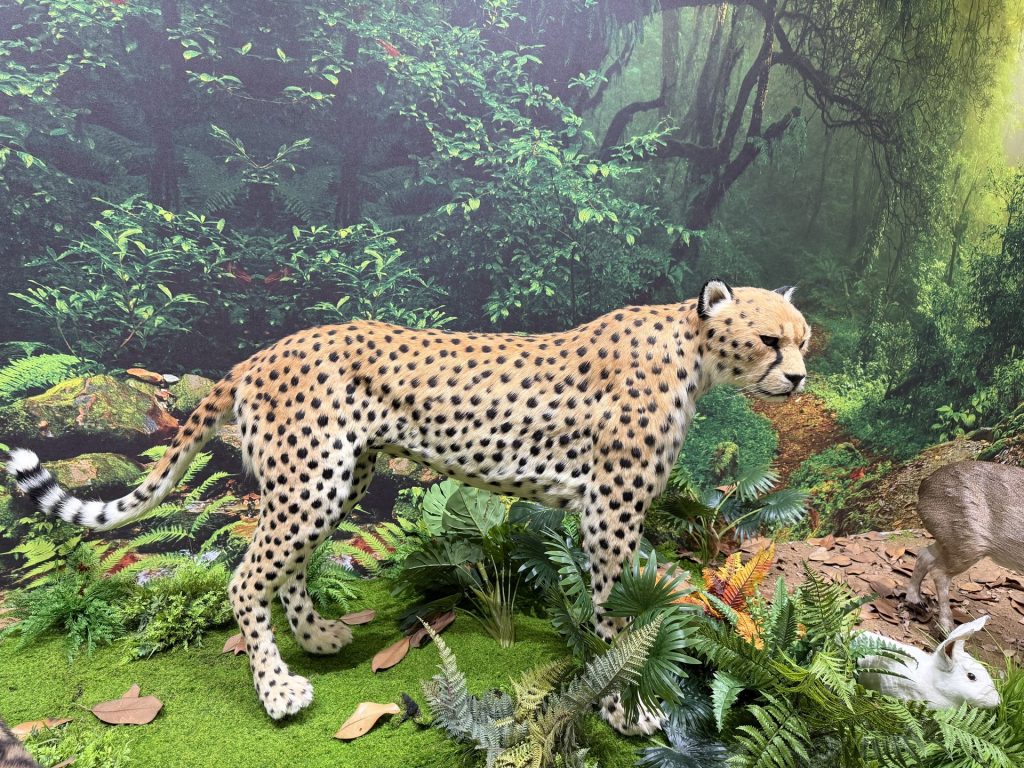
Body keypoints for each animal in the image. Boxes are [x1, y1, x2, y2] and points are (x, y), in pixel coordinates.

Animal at [6, 280, 810, 735]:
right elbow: (618, 619)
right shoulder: (610, 512)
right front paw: (625, 707)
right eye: (769, 339)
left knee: (286, 567)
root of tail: (263, 351)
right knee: (246, 577)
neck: (695, 352)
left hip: (338, 476)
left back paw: (320, 638)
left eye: (805, 340)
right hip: (312, 479)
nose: (800, 377)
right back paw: (278, 693)